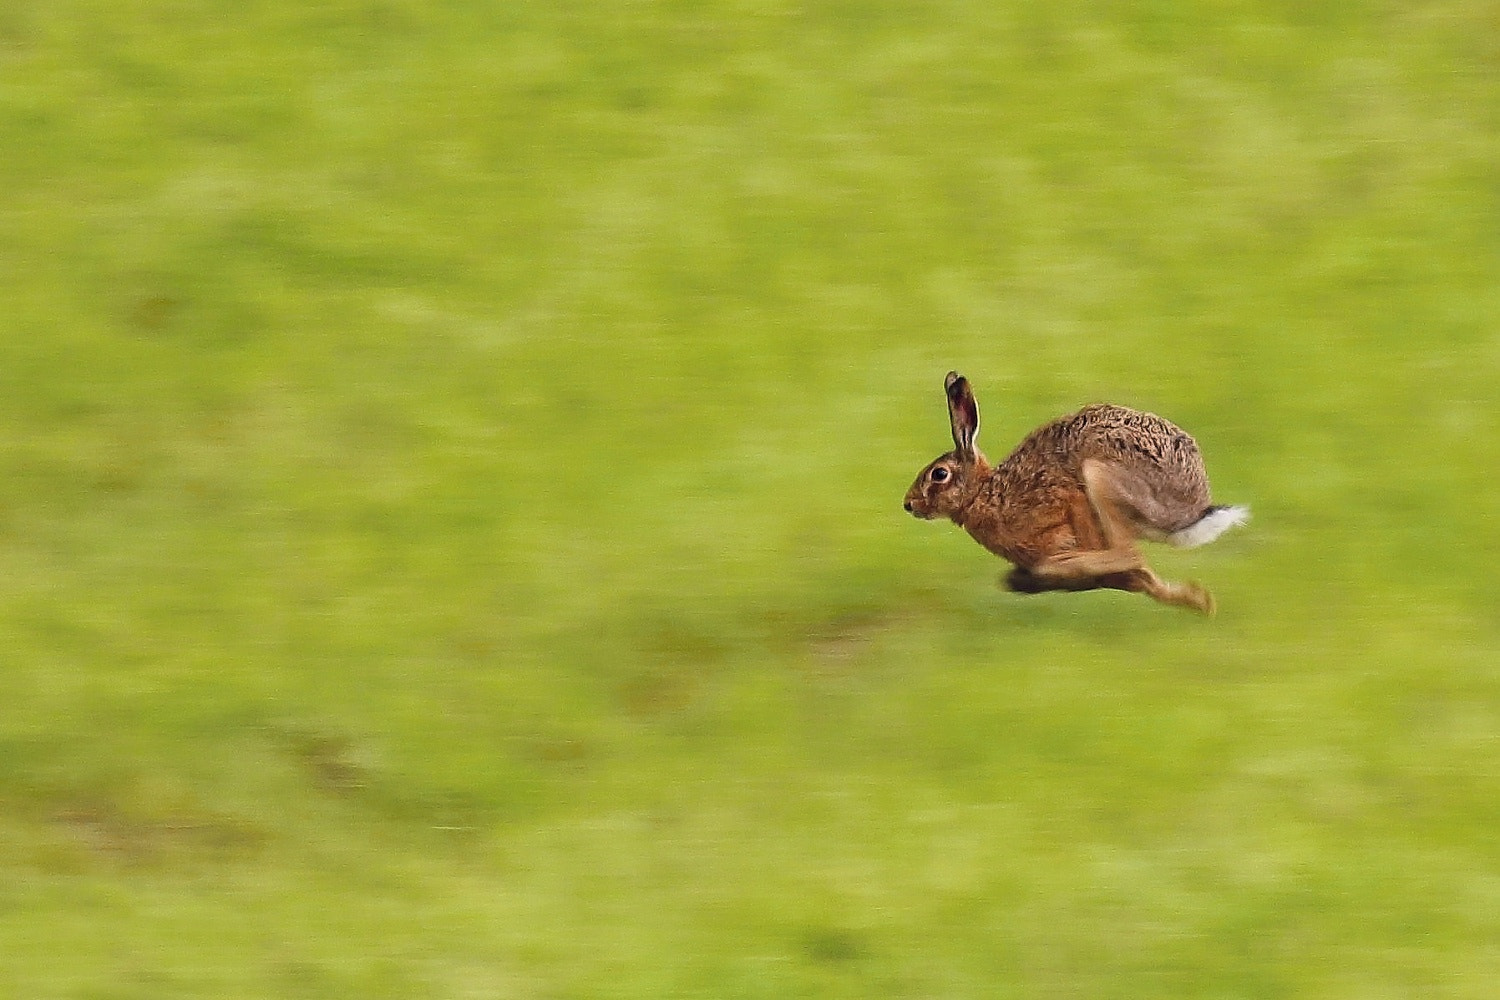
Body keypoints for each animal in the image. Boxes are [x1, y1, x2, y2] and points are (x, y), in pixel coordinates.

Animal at [903, 371, 1248, 614]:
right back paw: (1198, 602)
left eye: (939, 474)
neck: (983, 493)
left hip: (1101, 477)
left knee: (1128, 553)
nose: (909, 504)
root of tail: (1191, 510)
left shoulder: (1070, 499)